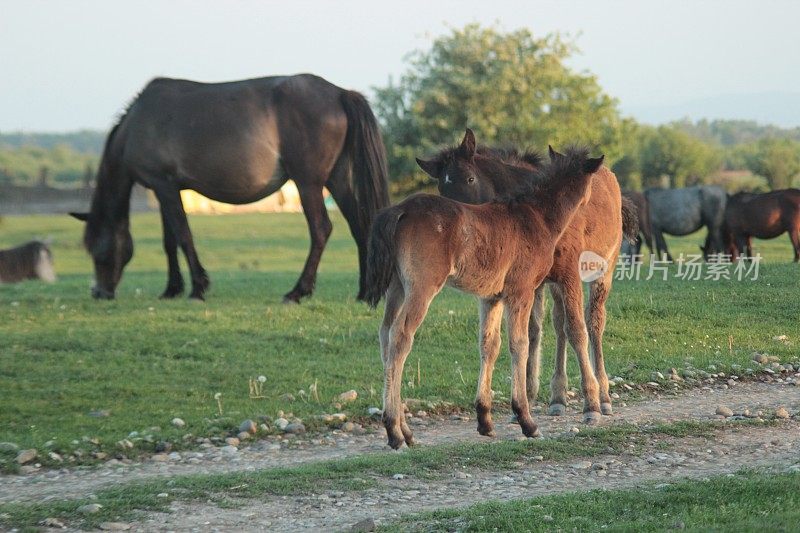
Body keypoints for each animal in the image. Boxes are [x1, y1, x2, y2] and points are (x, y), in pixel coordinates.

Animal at [70, 72, 390, 302]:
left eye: (98, 249)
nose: (99, 293)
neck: (138, 123)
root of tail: (339, 93)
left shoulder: (164, 187)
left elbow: (183, 235)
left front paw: (197, 288)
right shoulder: (165, 189)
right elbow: (169, 241)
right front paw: (172, 289)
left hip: (308, 183)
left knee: (321, 229)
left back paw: (298, 291)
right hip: (336, 178)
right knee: (359, 225)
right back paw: (365, 292)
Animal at [366, 140, 604, 444]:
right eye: (592, 183)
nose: (591, 207)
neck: (535, 216)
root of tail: (400, 210)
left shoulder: (492, 298)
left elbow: (489, 345)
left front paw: (485, 419)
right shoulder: (521, 291)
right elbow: (520, 344)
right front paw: (526, 420)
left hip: (397, 286)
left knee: (384, 334)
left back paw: (405, 430)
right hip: (422, 286)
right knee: (400, 336)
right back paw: (394, 430)